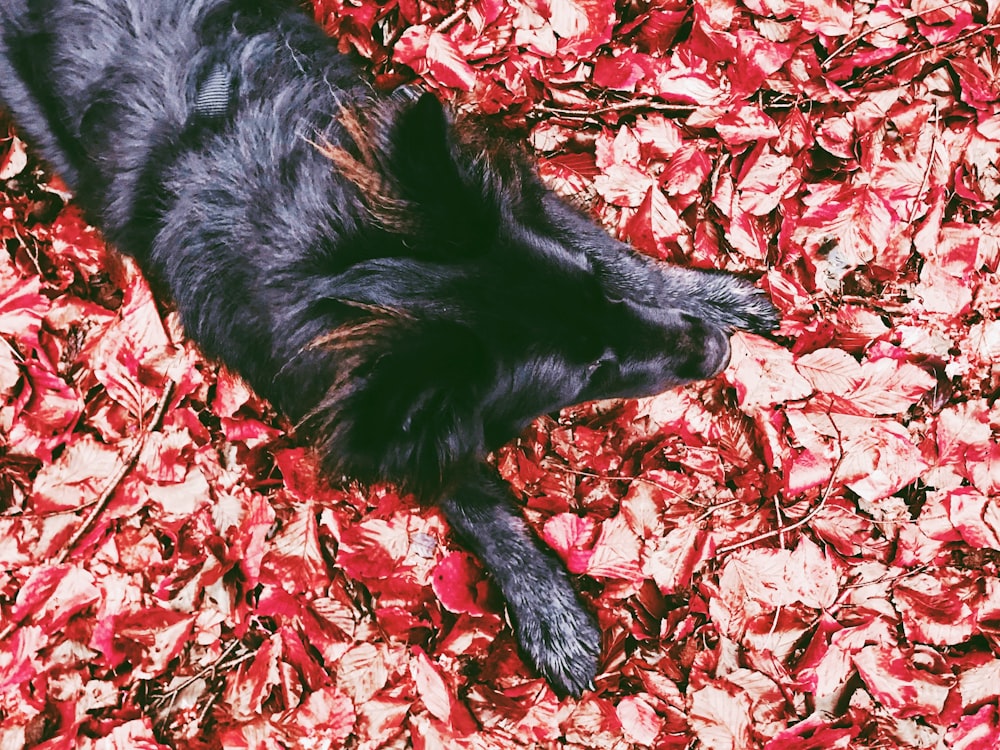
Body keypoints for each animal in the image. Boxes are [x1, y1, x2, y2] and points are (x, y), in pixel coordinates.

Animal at [0, 0, 776, 700]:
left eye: (596, 295)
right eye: (591, 372)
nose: (714, 352)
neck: (321, 261)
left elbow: (618, 256)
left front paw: (710, 294)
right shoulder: (369, 409)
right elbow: (467, 493)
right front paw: (543, 602)